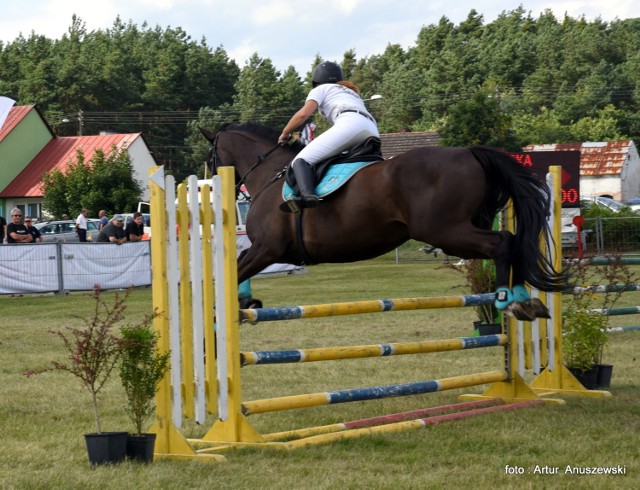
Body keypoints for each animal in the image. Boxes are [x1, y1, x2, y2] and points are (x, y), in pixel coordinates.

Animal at [202, 122, 568, 322]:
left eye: (212, 156)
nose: (215, 181)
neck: (269, 173)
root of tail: (469, 152)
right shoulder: (268, 251)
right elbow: (236, 266)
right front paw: (246, 303)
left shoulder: (268, 248)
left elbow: (235, 268)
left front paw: (228, 309)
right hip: (459, 231)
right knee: (508, 243)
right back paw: (524, 300)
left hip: (446, 231)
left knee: (503, 242)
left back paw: (511, 300)